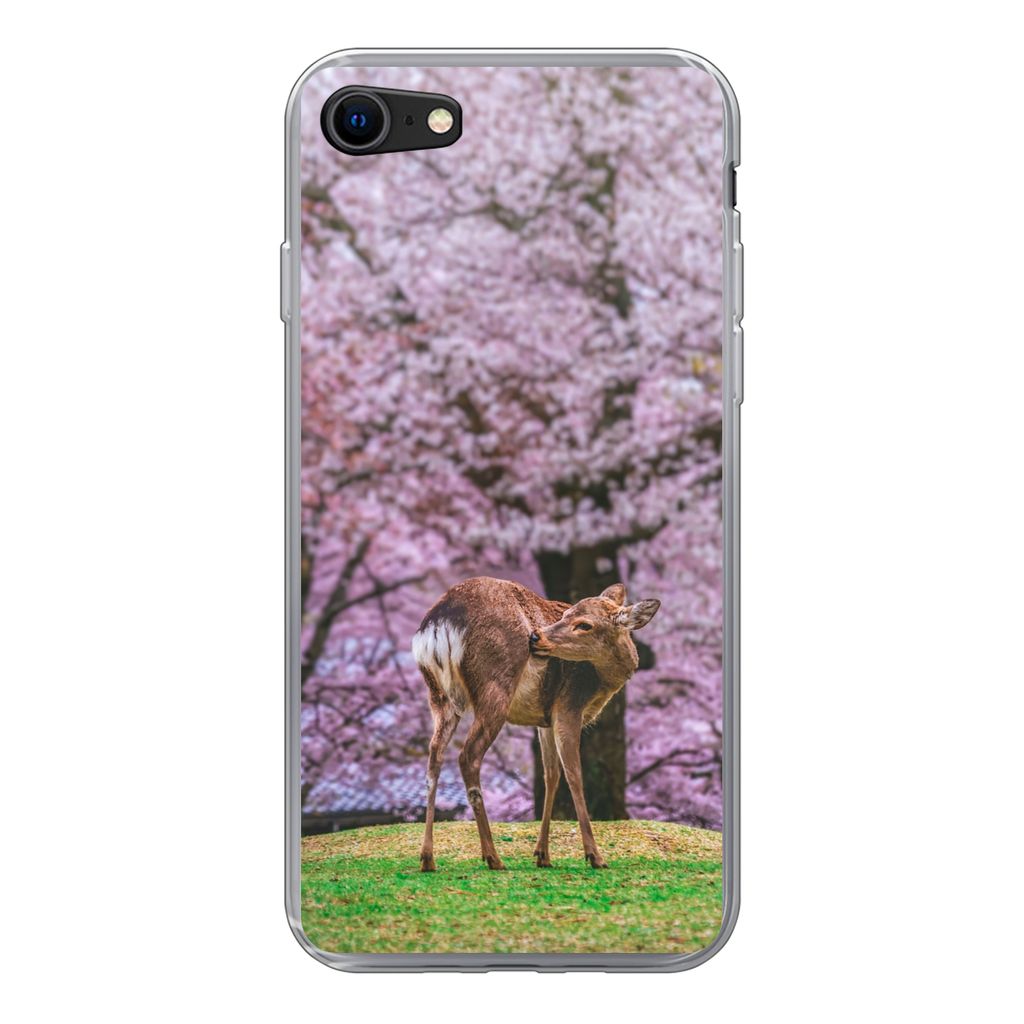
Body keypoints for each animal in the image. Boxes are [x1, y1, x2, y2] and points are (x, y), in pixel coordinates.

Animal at [411, 576, 660, 872]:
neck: (603, 682)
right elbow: (574, 774)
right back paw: (493, 857)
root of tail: (438, 624)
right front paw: (595, 856)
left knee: (434, 757)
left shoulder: (545, 719)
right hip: (495, 687)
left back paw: (428, 858)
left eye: (584, 624)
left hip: (438, 696)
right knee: (468, 756)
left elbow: (551, 775)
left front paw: (542, 855)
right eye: (566, 614)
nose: (536, 636)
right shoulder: (569, 704)